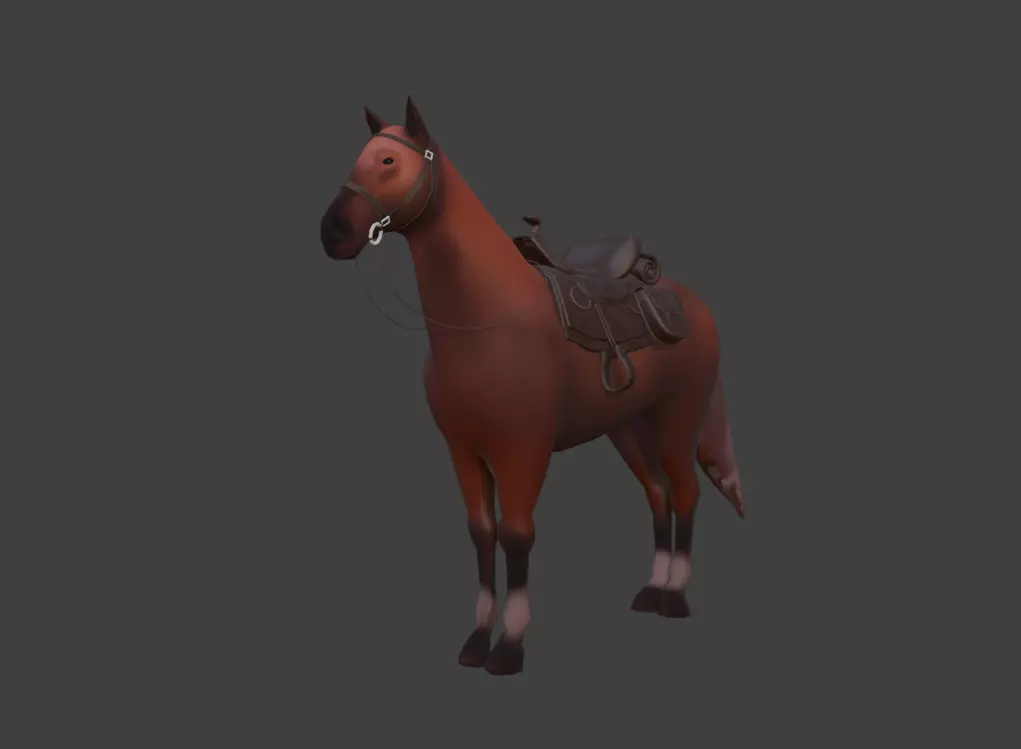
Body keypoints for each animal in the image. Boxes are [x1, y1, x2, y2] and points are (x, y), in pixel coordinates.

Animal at [319, 97, 745, 676]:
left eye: (388, 161)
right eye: (360, 157)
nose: (332, 231)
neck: (484, 322)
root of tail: (690, 303)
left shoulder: (522, 451)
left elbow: (518, 535)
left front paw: (509, 647)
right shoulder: (464, 450)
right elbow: (482, 532)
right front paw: (477, 639)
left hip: (677, 422)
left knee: (684, 492)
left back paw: (674, 597)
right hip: (627, 430)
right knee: (657, 494)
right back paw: (652, 590)